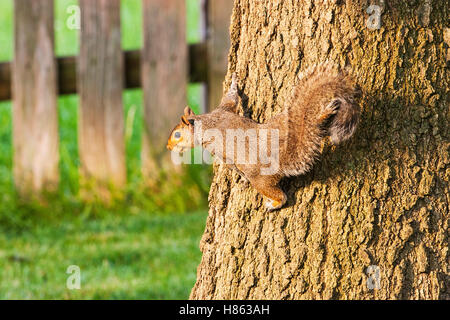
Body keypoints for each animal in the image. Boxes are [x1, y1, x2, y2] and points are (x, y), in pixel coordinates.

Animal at [167, 63, 360, 211]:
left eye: (177, 135)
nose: (168, 147)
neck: (204, 121)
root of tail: (280, 158)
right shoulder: (224, 109)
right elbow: (232, 99)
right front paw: (235, 83)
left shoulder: (218, 147)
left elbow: (232, 164)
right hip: (282, 121)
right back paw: (324, 115)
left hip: (261, 180)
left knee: (280, 195)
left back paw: (274, 204)